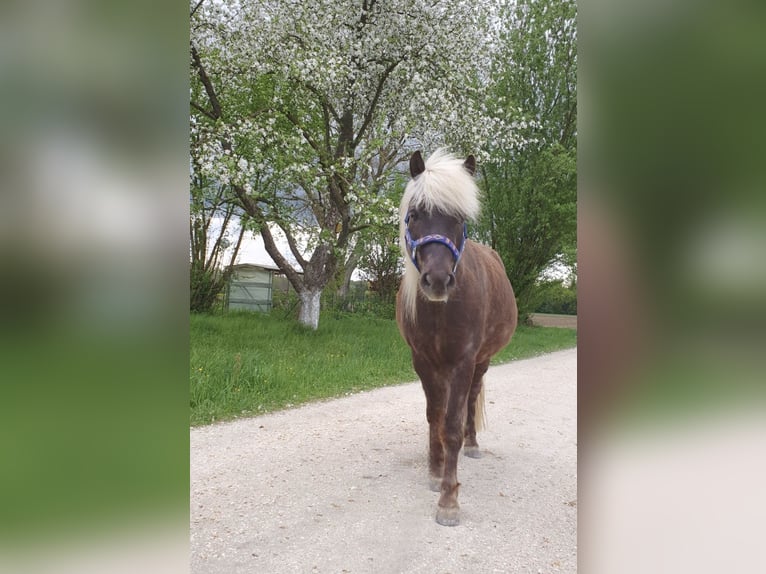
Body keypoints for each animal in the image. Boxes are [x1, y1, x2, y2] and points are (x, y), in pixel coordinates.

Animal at [396, 149, 518, 526]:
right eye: (415, 215)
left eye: (460, 219)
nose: (437, 280)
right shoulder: (422, 361)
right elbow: (435, 416)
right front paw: (436, 473)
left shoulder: (464, 360)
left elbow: (451, 424)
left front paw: (449, 501)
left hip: (481, 362)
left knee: (471, 399)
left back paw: (472, 444)